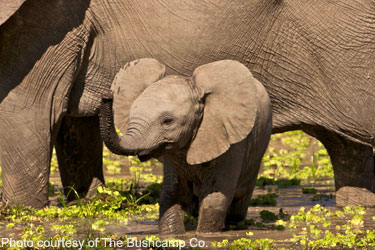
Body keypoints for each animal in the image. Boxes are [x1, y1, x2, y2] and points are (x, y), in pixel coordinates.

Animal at [0, 0, 375, 208]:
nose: (108, 94)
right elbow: (72, 130)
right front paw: (89, 202)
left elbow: (25, 118)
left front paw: (22, 211)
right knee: (348, 149)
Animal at [98, 58, 272, 234]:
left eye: (167, 121)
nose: (106, 95)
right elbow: (174, 193)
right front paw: (172, 234)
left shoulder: (231, 142)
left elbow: (215, 195)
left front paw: (206, 235)